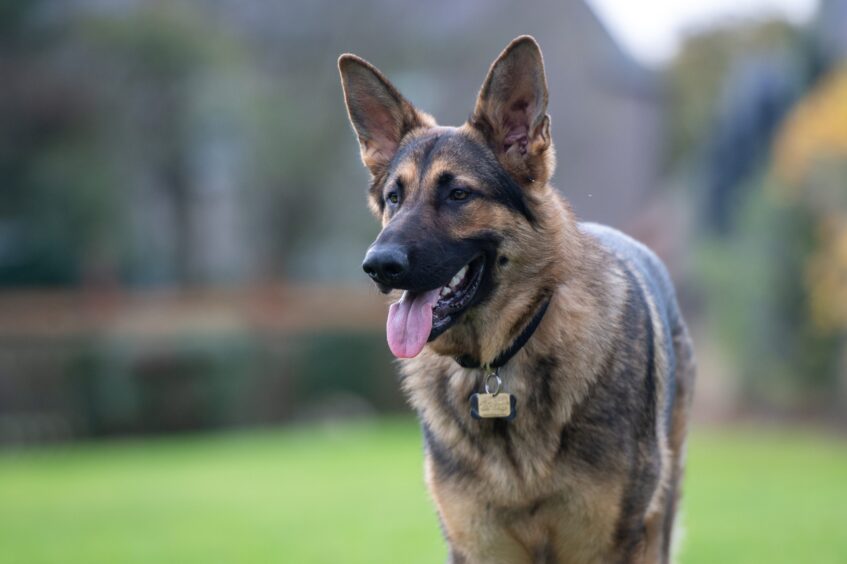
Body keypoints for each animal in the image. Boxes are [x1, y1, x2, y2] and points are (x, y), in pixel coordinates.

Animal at [338, 35, 696, 564]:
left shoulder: (610, 544)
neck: (500, 364)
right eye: (393, 198)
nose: (378, 266)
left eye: (459, 194)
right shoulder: (478, 546)